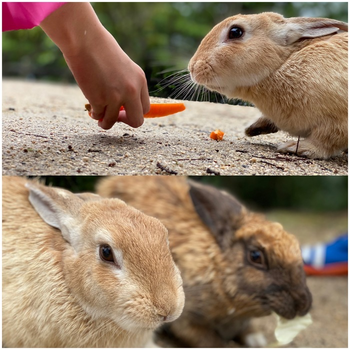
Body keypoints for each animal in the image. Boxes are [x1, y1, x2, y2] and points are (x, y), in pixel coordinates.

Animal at [189, 12, 348, 159]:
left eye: (235, 32)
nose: (192, 68)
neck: (280, 65)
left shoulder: (337, 120)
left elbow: (328, 139)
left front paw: (296, 147)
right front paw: (251, 129)